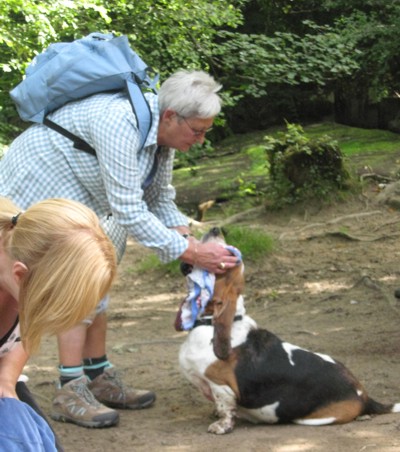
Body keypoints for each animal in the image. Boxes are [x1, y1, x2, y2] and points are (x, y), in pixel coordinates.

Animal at [179, 228, 400, 432]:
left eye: (227, 262)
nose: (216, 229)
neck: (208, 323)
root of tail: (365, 396)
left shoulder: (221, 386)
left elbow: (226, 408)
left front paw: (221, 425)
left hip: (312, 419)